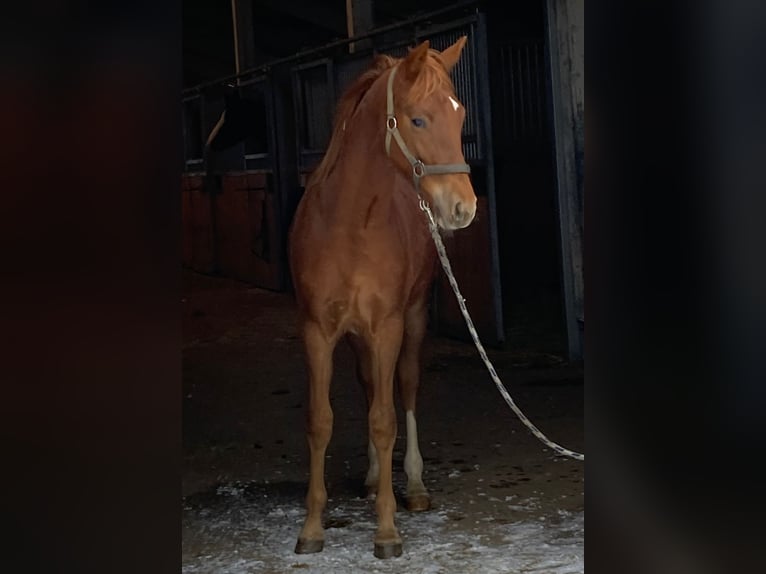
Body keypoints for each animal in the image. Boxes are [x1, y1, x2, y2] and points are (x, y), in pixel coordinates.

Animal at [290, 38, 476, 560]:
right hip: (358, 337)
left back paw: (412, 486)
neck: (348, 225)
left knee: (405, 387)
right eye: (418, 120)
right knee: (371, 384)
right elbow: (321, 421)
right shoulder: (317, 331)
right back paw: (375, 477)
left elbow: (386, 420)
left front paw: (388, 531)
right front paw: (311, 529)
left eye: (459, 114)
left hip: (410, 322)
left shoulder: (388, 326)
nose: (464, 208)